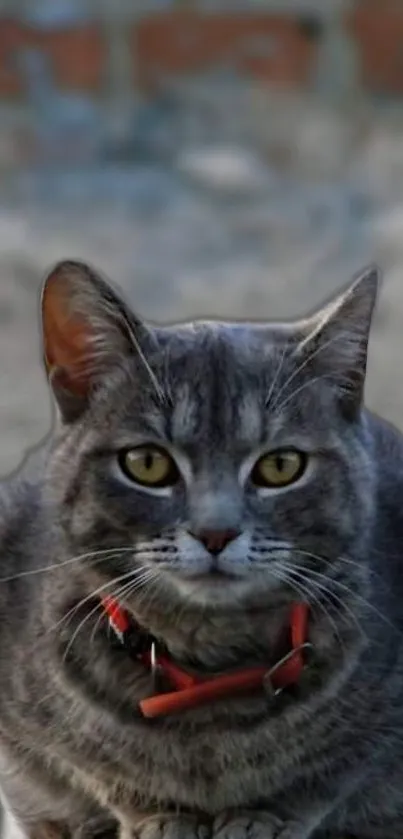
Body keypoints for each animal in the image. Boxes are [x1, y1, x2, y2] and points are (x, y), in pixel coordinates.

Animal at [0, 260, 403, 839]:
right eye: (147, 463)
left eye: (281, 466)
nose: (216, 532)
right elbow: (95, 769)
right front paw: (162, 815)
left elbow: (331, 774)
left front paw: (261, 816)